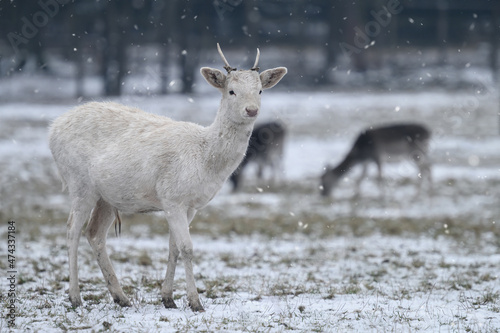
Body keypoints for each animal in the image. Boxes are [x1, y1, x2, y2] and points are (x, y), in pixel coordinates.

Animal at [49, 44, 290, 312]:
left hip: (108, 196)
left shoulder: (191, 205)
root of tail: (53, 128)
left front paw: (168, 298)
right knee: (72, 230)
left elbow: (173, 248)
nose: (251, 110)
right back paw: (75, 297)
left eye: (260, 90)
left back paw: (121, 297)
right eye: (231, 91)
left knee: (94, 233)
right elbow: (187, 248)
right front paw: (195, 302)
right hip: (79, 182)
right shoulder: (172, 197)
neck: (205, 160)